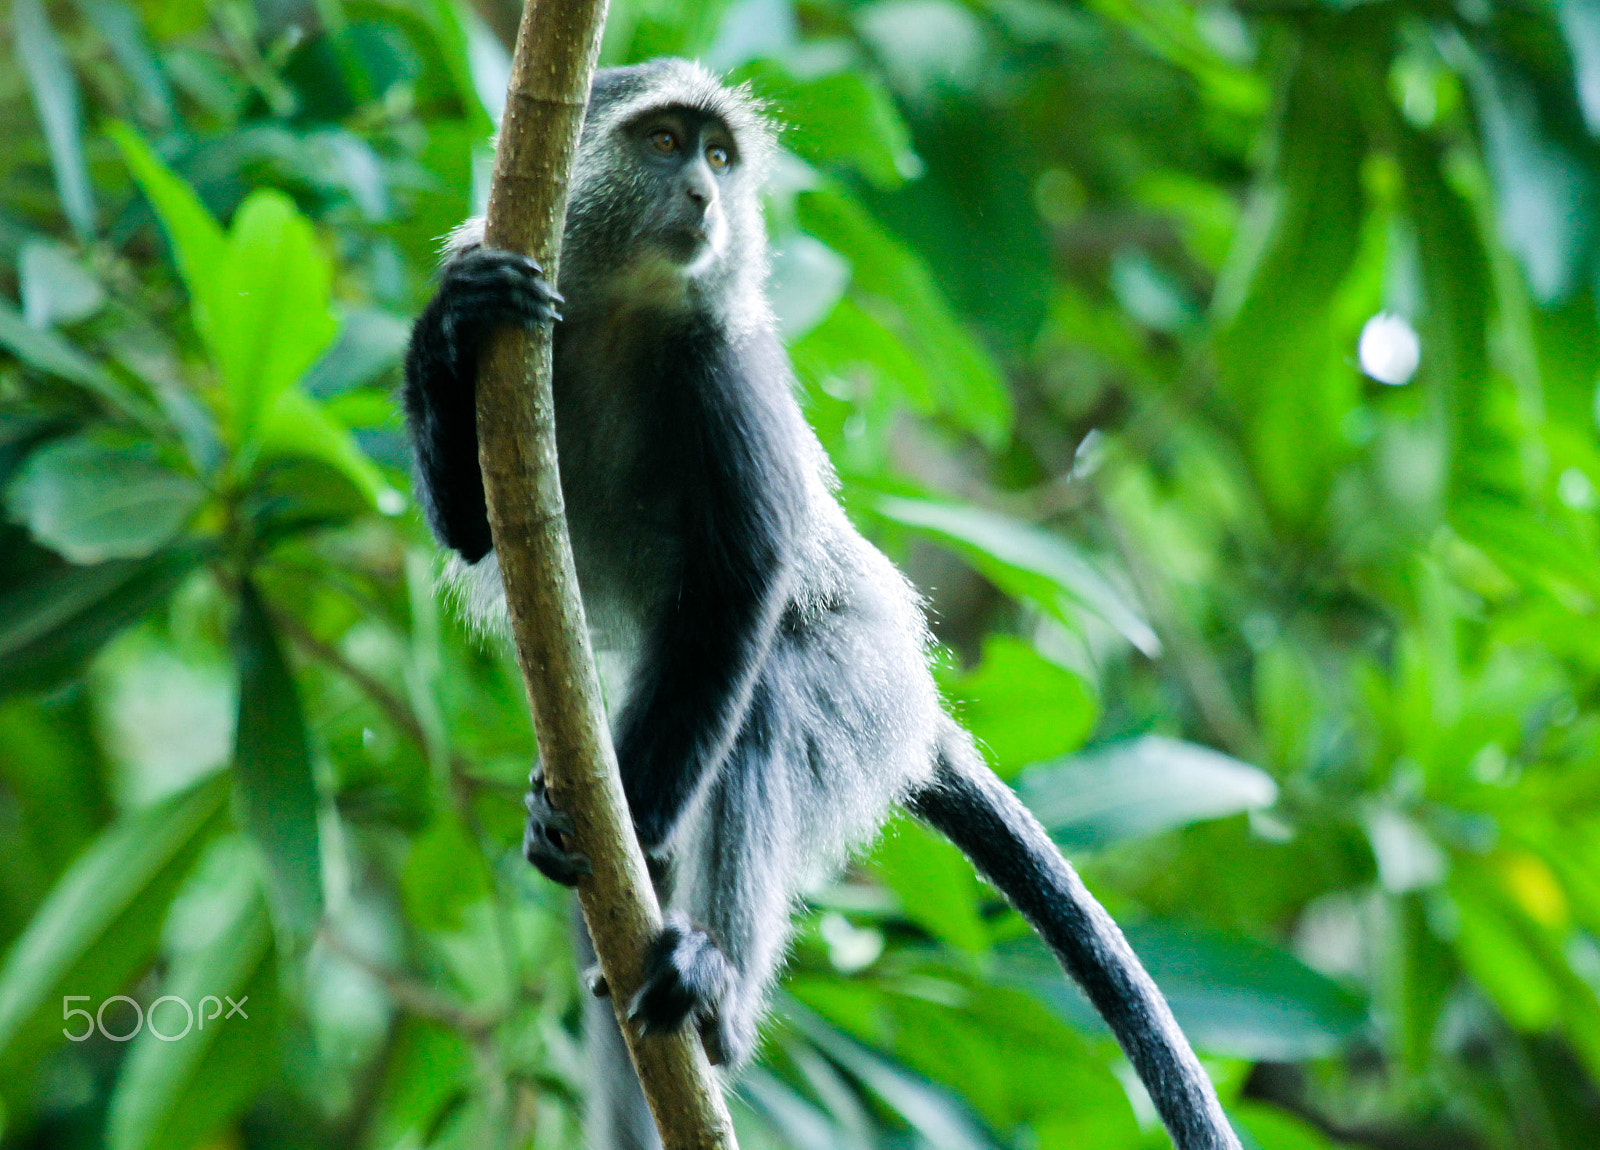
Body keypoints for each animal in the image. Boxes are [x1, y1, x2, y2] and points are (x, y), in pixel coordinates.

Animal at [401, 58, 1240, 1150]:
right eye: (664, 143)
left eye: (719, 157)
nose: (704, 196)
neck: (622, 311)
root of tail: (923, 716)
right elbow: (472, 529)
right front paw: (453, 316)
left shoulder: (727, 366)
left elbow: (741, 584)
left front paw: (640, 821)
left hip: (859, 684)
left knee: (764, 709)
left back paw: (712, 987)